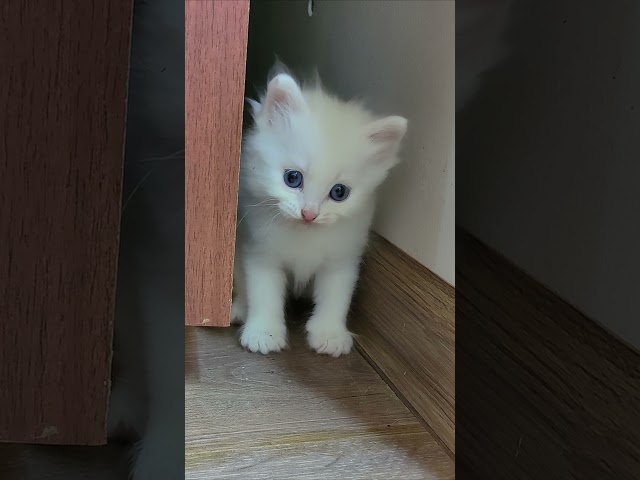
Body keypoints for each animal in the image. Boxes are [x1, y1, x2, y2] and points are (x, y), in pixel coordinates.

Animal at [232, 70, 408, 356]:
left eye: (339, 193)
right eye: (293, 178)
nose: (309, 214)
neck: (305, 236)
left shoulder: (342, 261)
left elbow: (336, 298)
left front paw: (330, 334)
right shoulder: (260, 253)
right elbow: (263, 294)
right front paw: (263, 332)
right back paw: (239, 309)